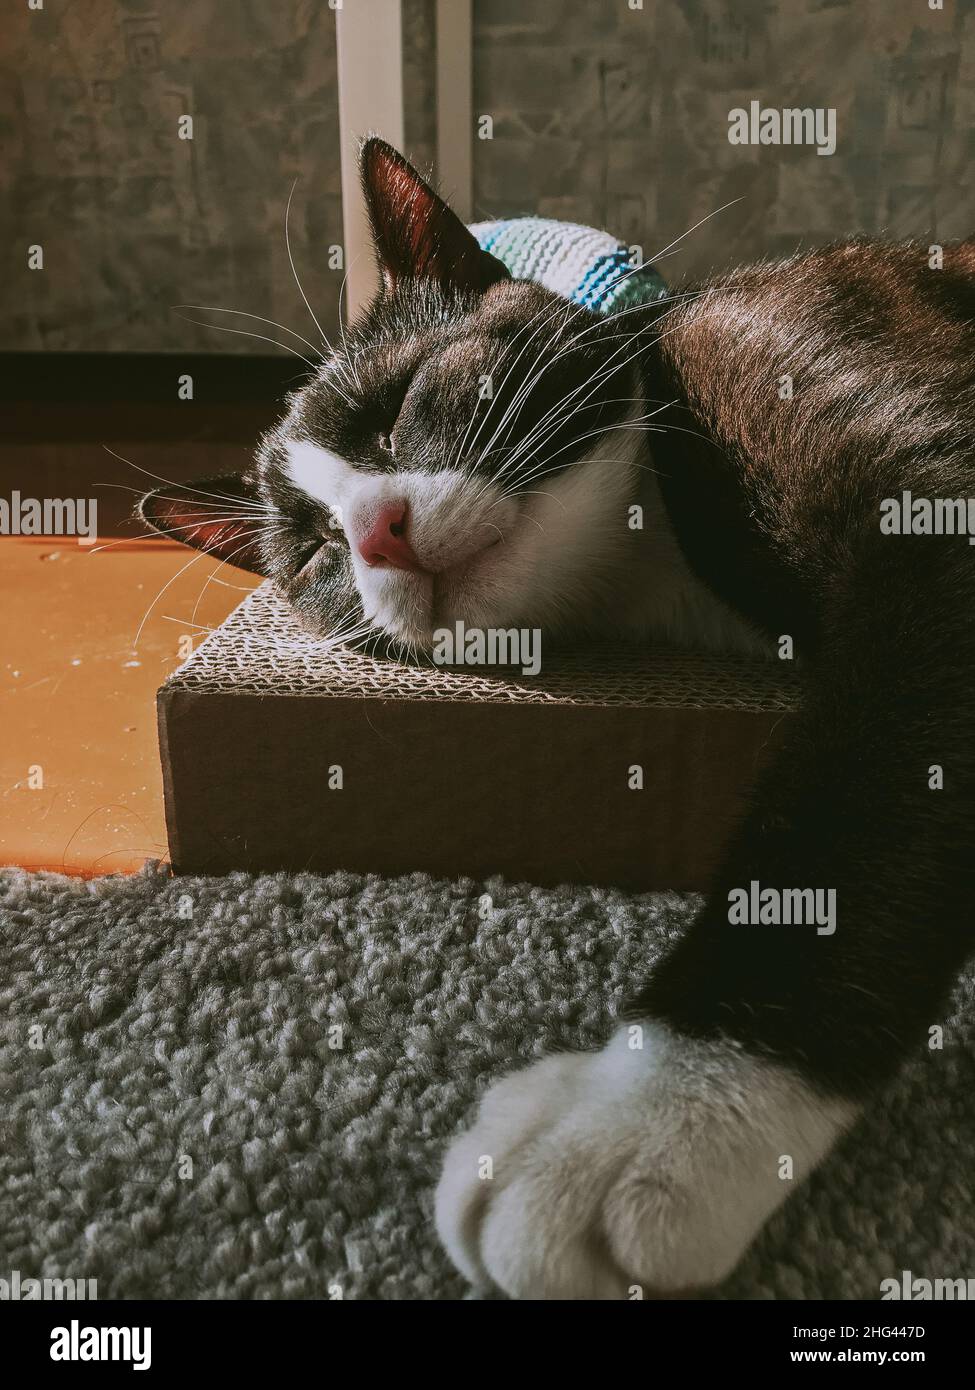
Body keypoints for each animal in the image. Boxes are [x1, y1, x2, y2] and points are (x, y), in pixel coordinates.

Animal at [140, 135, 973, 1295]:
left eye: (398, 406)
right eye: (312, 553)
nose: (377, 532)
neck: (653, 561)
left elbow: (853, 817)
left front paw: (650, 1115)